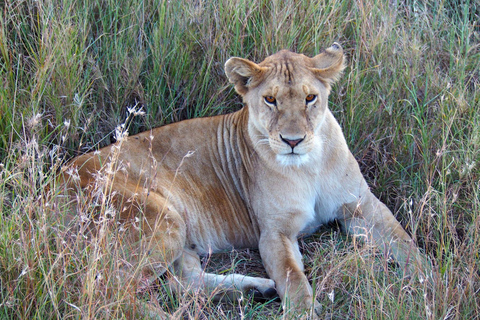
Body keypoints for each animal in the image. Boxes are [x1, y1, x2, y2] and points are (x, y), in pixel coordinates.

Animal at [62, 42, 426, 318]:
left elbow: (405, 243)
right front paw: (302, 311)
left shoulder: (361, 205)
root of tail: (55, 184)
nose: (293, 141)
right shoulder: (274, 232)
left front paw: (428, 283)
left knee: (183, 281)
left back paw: (255, 290)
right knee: (107, 292)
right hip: (160, 219)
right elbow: (294, 278)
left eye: (310, 98)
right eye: (270, 100)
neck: (309, 166)